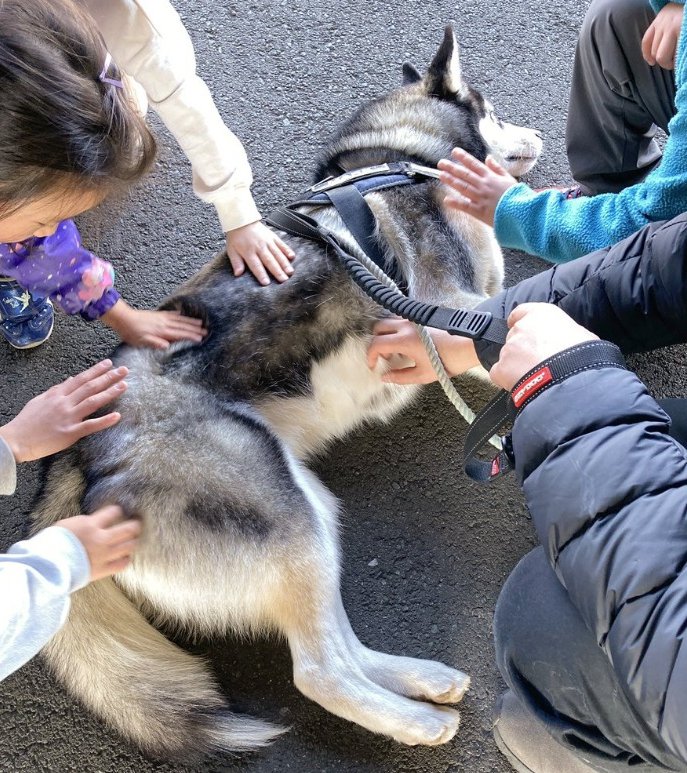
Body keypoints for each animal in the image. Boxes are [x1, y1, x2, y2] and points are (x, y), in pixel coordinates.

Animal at [33, 25, 544, 760]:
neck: (402, 157)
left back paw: (421, 681)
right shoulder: (453, 305)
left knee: (338, 645)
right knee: (317, 671)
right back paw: (415, 723)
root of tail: (73, 452)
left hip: (309, 509)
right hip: (283, 514)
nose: (537, 134)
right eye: (496, 112)